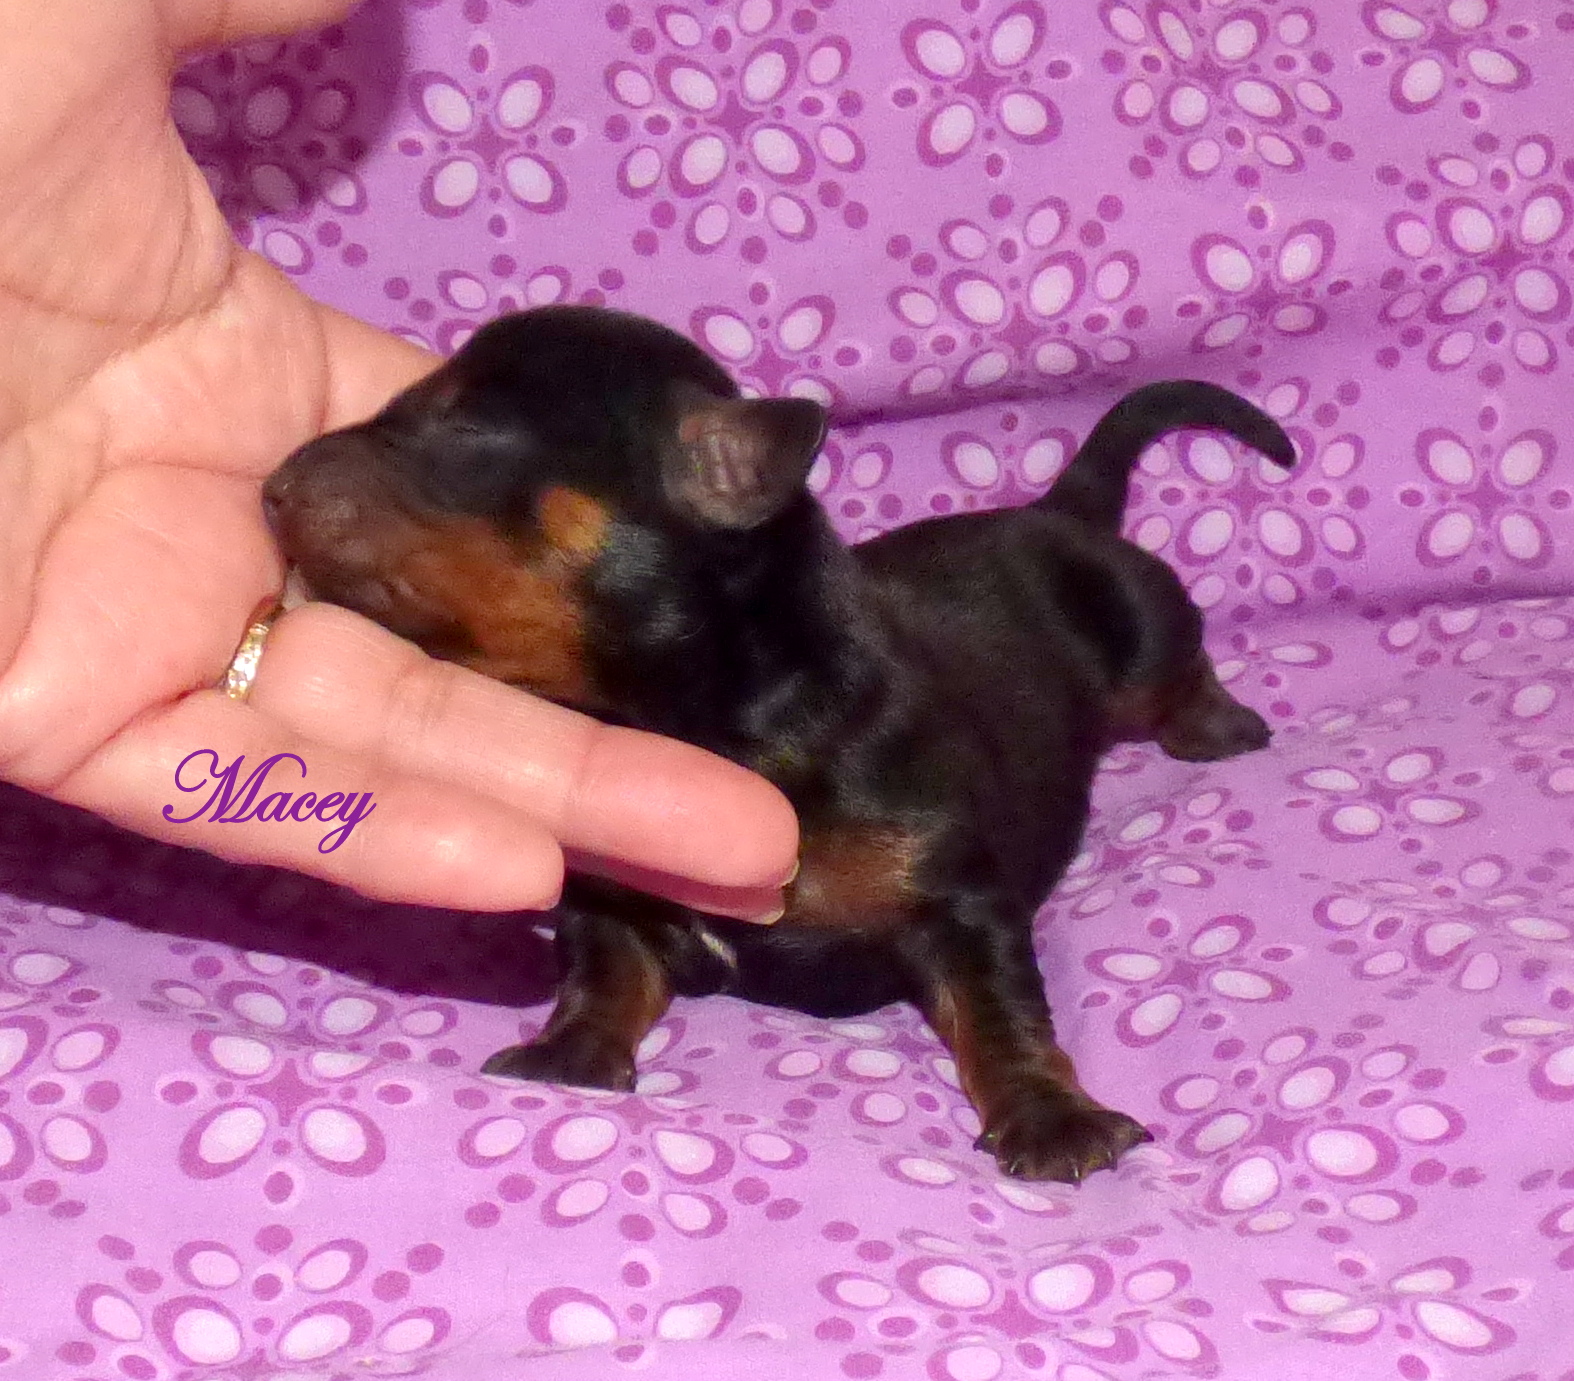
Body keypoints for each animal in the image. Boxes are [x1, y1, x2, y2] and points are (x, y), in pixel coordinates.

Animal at [263, 305, 1294, 1181]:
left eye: (466, 430)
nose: (271, 487)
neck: (695, 718)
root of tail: (1053, 507)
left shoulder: (961, 900)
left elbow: (1001, 1008)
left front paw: (1052, 1118)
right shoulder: (611, 897)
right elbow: (602, 970)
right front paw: (568, 1052)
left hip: (1135, 612)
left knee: (1174, 661)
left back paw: (1219, 725)